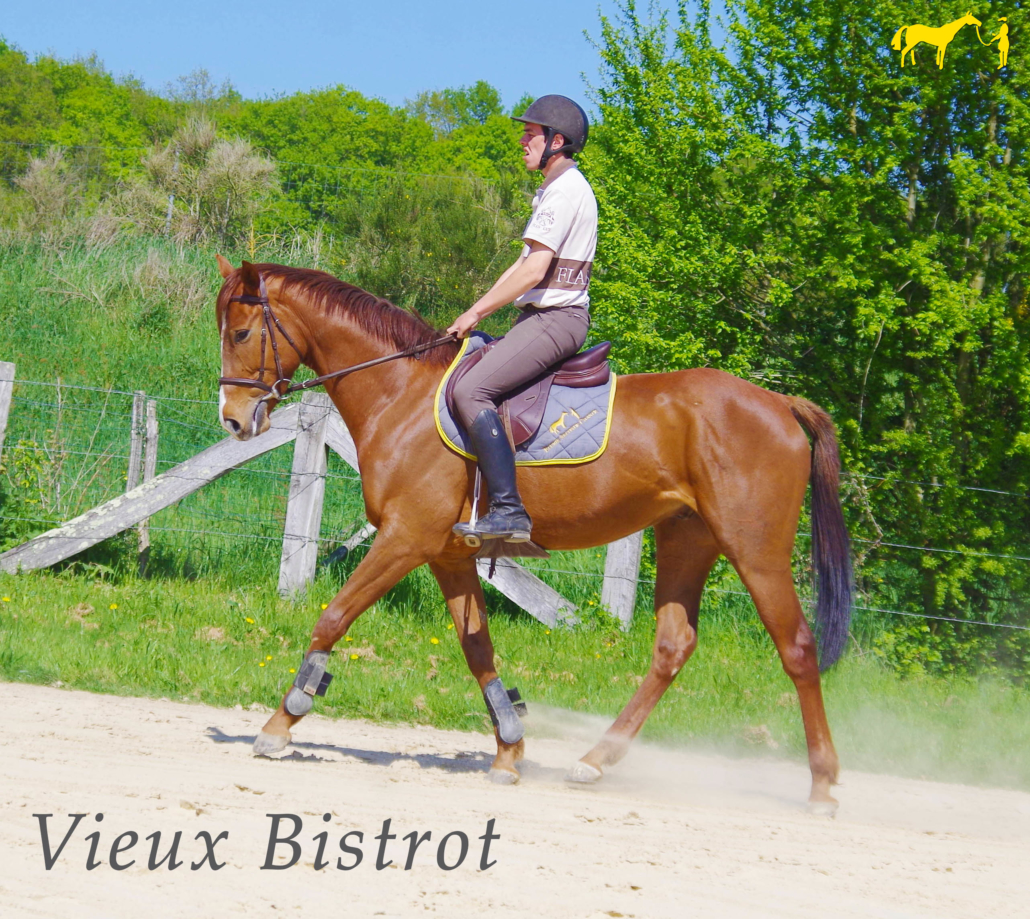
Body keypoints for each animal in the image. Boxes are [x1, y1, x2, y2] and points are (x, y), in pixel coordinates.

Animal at [217, 256, 852, 811]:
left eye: (242, 333)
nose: (233, 420)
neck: (401, 392)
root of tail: (779, 403)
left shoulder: (404, 539)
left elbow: (334, 616)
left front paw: (281, 722)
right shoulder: (448, 553)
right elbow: (478, 650)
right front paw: (509, 748)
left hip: (754, 548)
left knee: (797, 648)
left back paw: (823, 786)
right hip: (686, 539)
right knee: (674, 646)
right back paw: (595, 760)